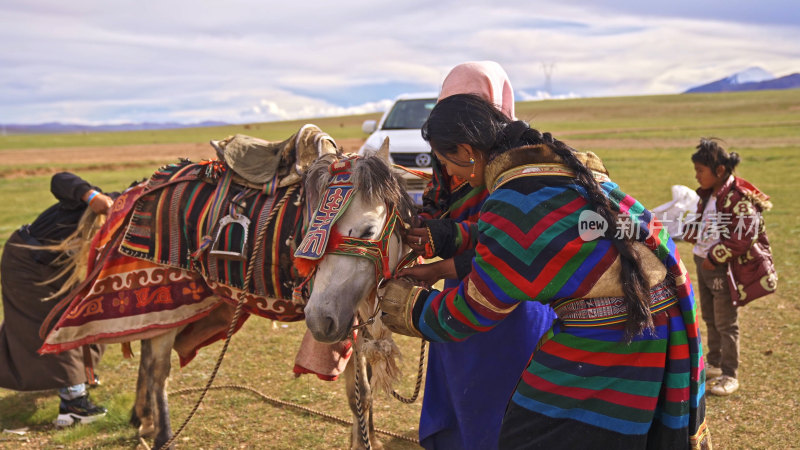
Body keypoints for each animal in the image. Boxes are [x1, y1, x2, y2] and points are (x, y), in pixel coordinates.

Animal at [39, 126, 406, 450]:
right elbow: (360, 394)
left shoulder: (354, 315)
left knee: (145, 350)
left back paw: (142, 418)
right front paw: (363, 441)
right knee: (158, 369)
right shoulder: (346, 321)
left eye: (369, 230)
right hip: (166, 292)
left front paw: (371, 437)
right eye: (312, 230)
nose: (319, 320)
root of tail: (142, 188)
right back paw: (162, 434)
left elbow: (366, 389)